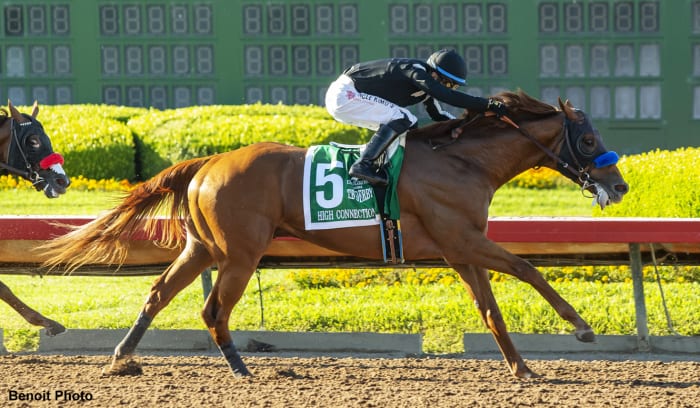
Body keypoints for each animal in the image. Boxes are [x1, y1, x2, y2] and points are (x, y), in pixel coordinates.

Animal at [39, 91, 628, 378]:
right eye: (588, 138)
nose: (620, 185)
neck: (463, 160)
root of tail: (207, 163)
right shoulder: (463, 241)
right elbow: (529, 268)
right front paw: (581, 328)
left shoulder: (460, 251)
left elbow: (490, 309)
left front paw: (521, 367)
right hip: (241, 253)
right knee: (213, 310)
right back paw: (240, 368)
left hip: (202, 247)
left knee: (159, 293)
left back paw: (123, 356)